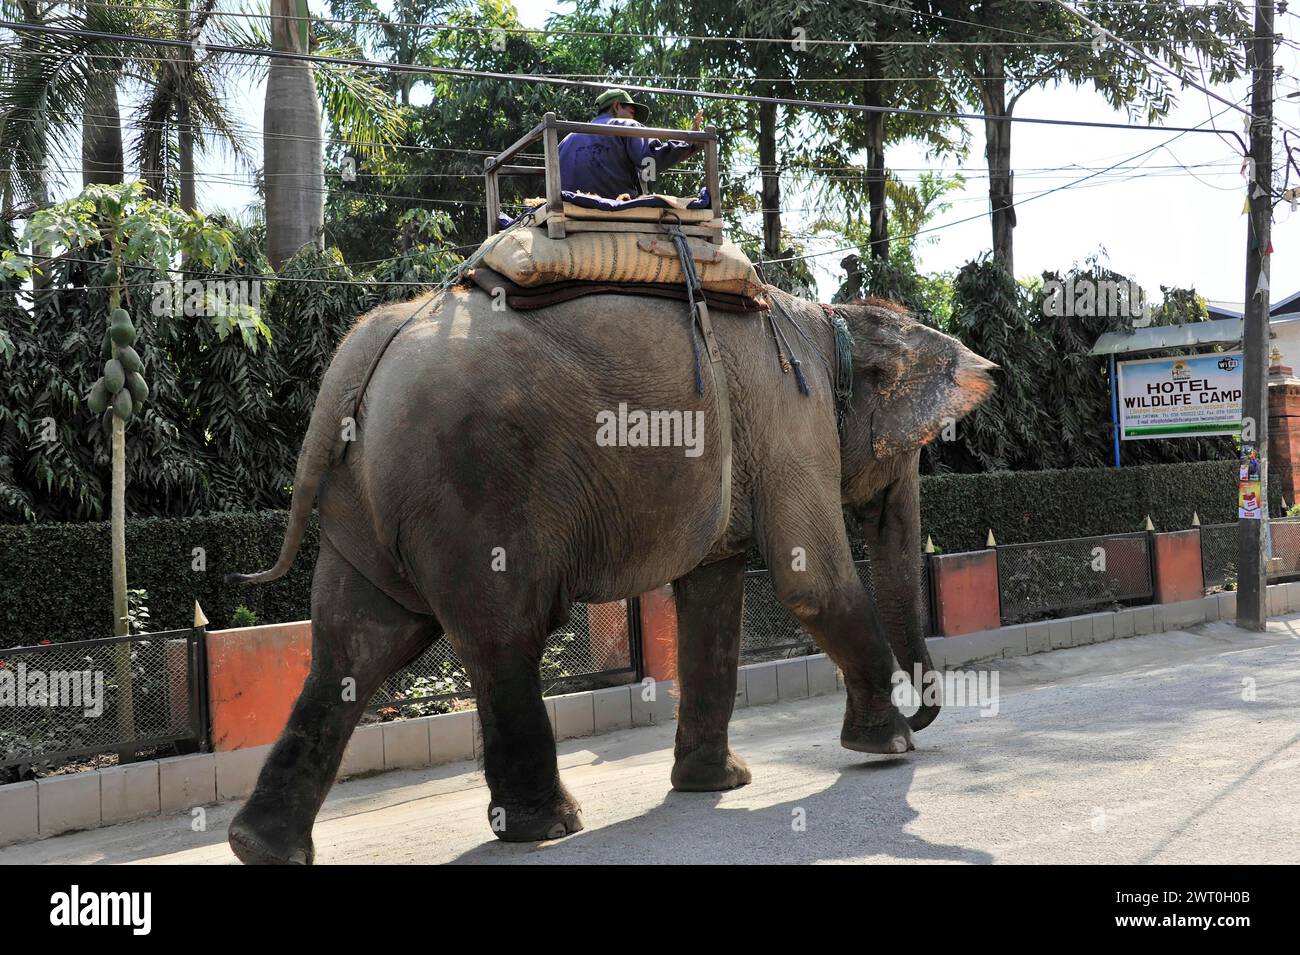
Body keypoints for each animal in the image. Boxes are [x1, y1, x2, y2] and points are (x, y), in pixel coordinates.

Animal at [223, 282, 995, 864]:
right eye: (912, 451)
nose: (924, 711)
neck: (830, 320)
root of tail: (366, 348)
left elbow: (714, 596)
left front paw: (720, 784)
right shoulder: (790, 421)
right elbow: (812, 581)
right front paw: (888, 748)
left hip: (364, 500)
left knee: (354, 644)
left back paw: (259, 846)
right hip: (473, 487)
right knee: (501, 637)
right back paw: (550, 826)